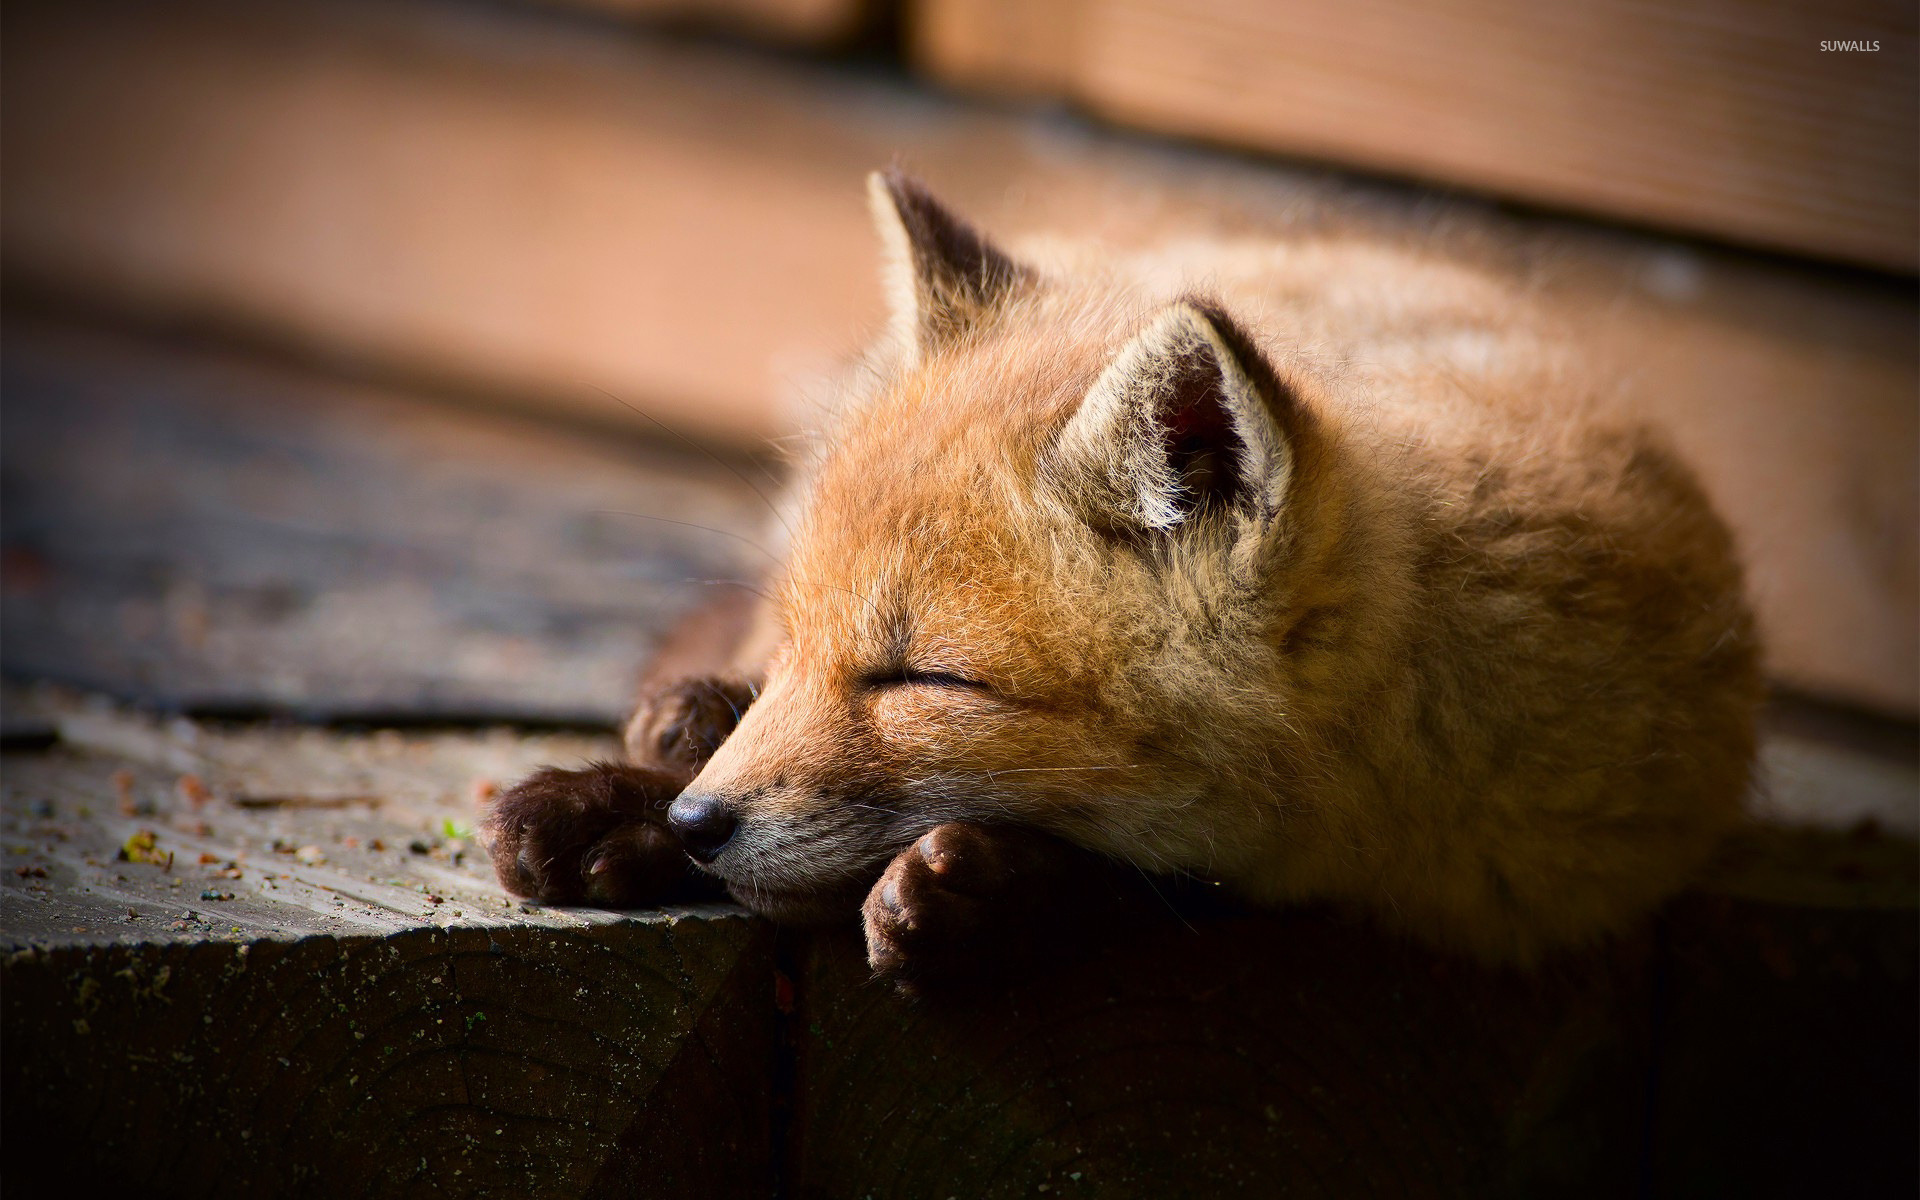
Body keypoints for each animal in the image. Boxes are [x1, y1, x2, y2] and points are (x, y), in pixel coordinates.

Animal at [482, 170, 1762, 985]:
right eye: (809, 647)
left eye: (924, 681)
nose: (696, 825)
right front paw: (626, 800)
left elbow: (1163, 895)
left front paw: (990, 897)